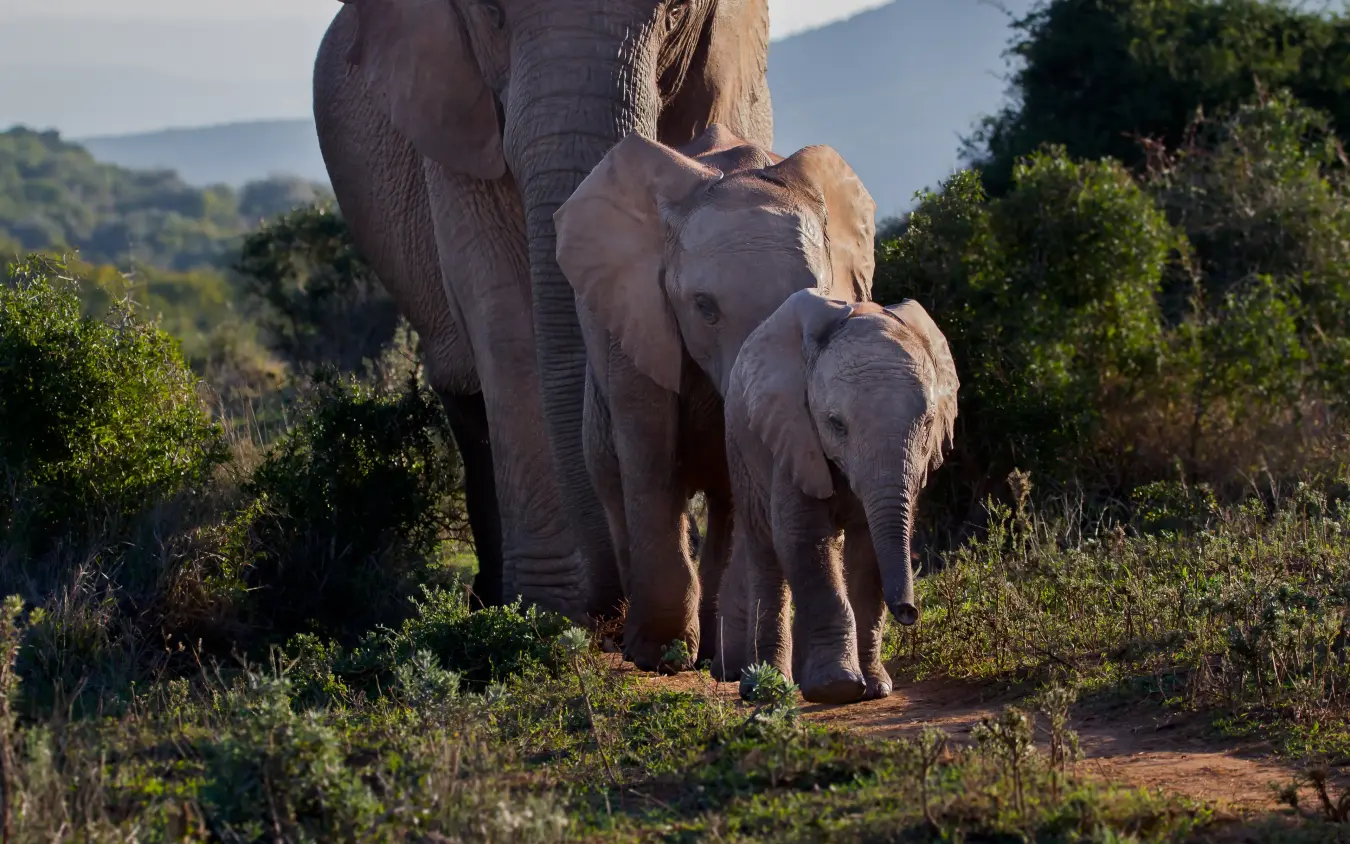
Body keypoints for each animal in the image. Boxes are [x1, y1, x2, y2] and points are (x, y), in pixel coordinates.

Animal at [311, 0, 774, 623]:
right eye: (491, 12)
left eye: (675, 11)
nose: (613, 606)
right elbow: (505, 318)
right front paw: (543, 613)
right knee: (467, 399)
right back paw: (491, 601)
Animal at [552, 125, 875, 671]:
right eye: (703, 307)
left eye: (812, 298)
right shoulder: (639, 314)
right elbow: (649, 454)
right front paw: (658, 655)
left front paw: (736, 662)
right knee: (611, 474)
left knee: (725, 499)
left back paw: (713, 656)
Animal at [722, 290, 959, 704]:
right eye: (836, 424)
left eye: (929, 423)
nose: (909, 612)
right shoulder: (793, 432)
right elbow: (802, 539)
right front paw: (837, 688)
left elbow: (867, 556)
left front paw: (875, 689)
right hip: (740, 445)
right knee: (766, 553)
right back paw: (766, 689)